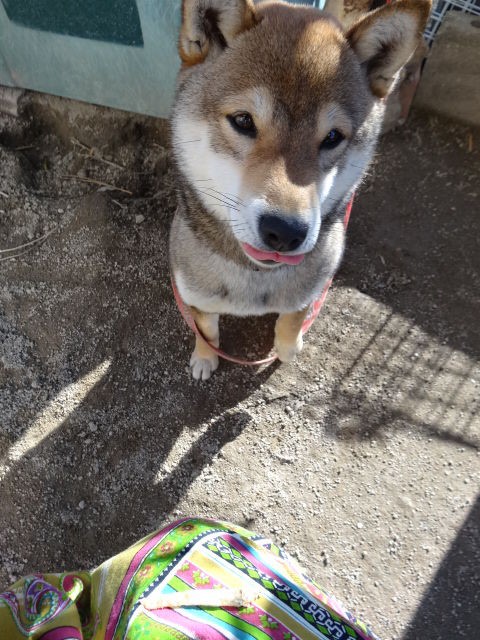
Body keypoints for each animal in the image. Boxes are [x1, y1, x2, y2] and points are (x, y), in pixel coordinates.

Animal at [169, 1, 432, 380]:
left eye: (333, 137)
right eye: (243, 120)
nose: (285, 231)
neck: (256, 277)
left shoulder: (312, 288)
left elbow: (292, 319)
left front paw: (288, 348)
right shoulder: (193, 295)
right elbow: (207, 330)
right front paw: (205, 358)